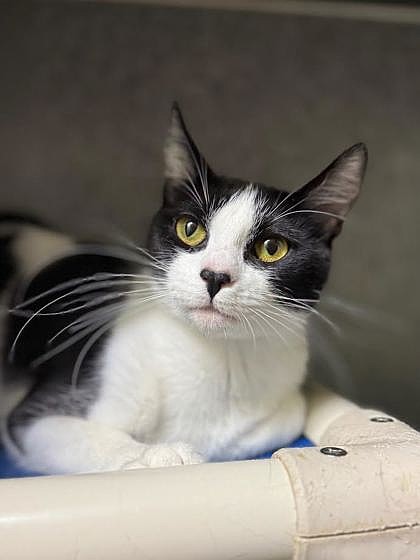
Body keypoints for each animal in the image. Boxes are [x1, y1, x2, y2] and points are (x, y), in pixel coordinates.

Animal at [0, 104, 367, 474]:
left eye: (272, 248)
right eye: (189, 229)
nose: (215, 276)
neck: (218, 357)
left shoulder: (280, 411)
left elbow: (282, 420)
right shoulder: (39, 416)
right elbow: (68, 434)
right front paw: (157, 456)